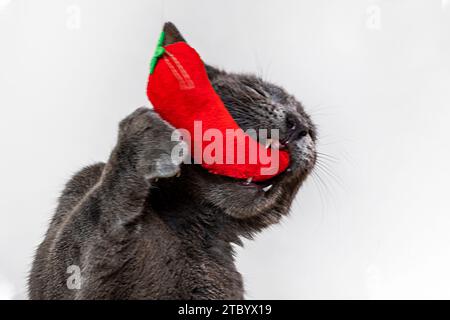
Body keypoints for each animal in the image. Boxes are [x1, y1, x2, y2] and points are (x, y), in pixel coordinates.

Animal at [28, 23, 316, 300]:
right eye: (256, 90)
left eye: (313, 133)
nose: (298, 125)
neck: (194, 228)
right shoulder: (81, 187)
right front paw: (143, 143)